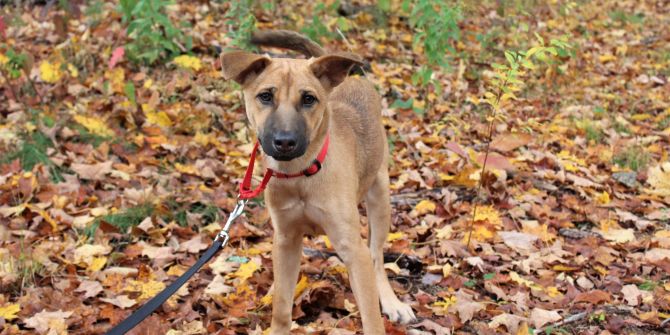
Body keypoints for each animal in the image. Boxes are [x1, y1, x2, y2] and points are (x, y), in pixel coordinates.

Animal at [223, 30, 418, 334]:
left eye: (308, 99)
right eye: (265, 96)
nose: (285, 142)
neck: (300, 175)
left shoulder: (354, 250)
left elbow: (371, 318)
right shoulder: (286, 241)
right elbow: (282, 307)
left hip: (380, 197)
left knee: (376, 255)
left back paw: (391, 302)